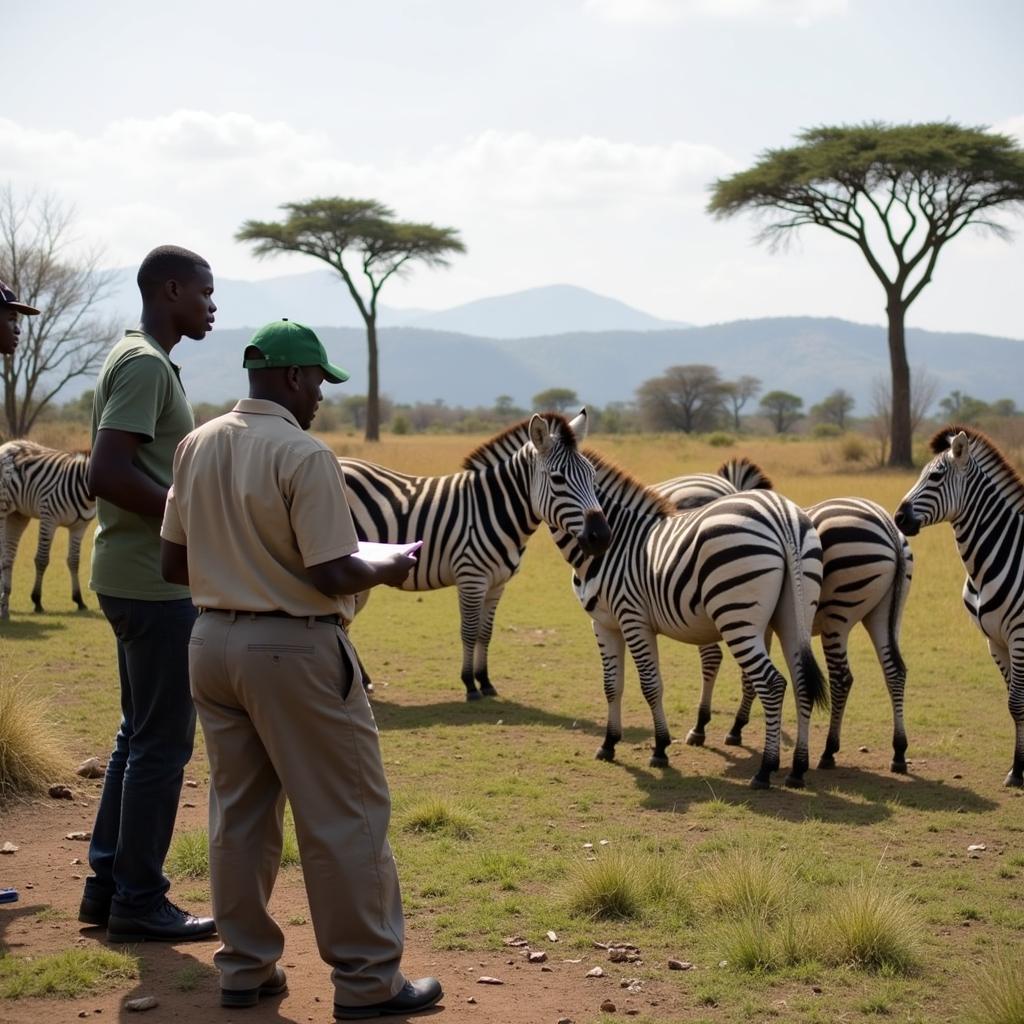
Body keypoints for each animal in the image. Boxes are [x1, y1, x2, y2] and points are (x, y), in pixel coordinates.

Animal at [0, 438, 96, 618]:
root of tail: (8, 444)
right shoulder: (49, 519)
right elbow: (42, 560)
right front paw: (37, 600)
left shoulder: (79, 527)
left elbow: (74, 561)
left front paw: (79, 600)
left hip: (18, 515)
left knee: (9, 555)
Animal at [544, 452, 823, 786]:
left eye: (557, 480)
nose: (597, 538)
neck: (622, 540)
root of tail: (781, 514)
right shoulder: (610, 623)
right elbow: (613, 684)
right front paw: (610, 744)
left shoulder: (623, 619)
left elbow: (647, 684)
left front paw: (658, 749)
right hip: (794, 615)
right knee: (801, 682)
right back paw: (797, 769)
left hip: (736, 616)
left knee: (770, 682)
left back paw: (765, 769)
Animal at [659, 460, 917, 770]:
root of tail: (888, 526)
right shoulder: (762, 623)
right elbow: (751, 676)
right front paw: (737, 727)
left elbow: (733, 669)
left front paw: (712, 728)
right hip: (886, 614)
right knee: (895, 672)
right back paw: (898, 752)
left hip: (839, 614)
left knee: (842, 678)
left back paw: (829, 751)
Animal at [892, 423, 1024, 790]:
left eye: (936, 476)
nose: (898, 517)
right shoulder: (995, 640)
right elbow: (1014, 703)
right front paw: (1019, 768)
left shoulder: (1019, 636)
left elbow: (1017, 702)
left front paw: (1018, 771)